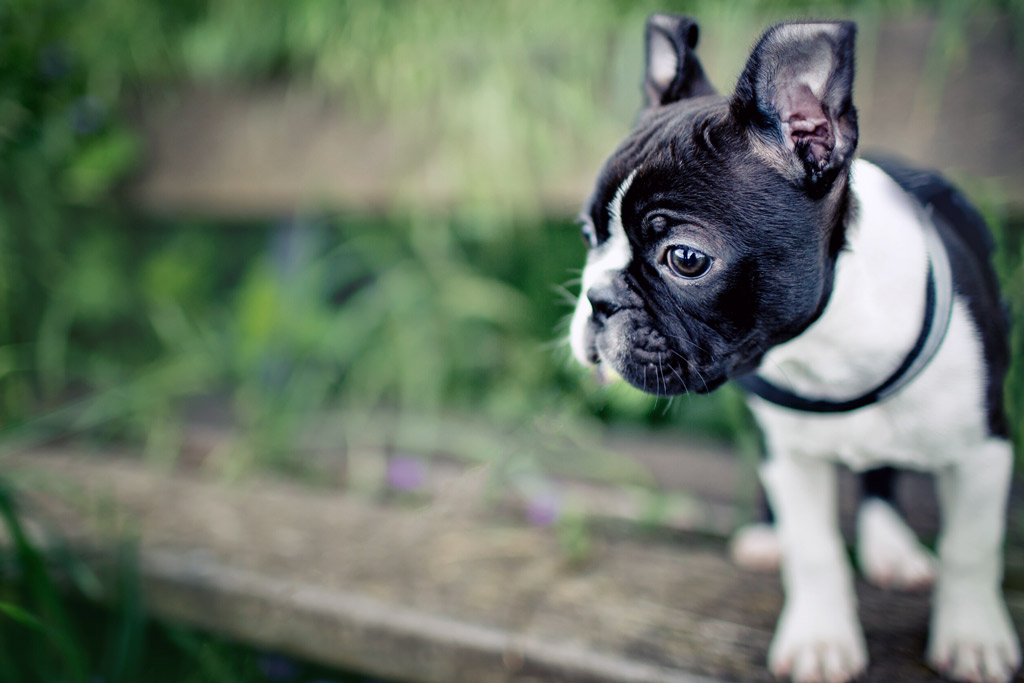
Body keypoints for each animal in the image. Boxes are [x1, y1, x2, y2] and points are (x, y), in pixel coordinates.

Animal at [573, 14, 1019, 683]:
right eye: (587, 235)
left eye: (686, 258)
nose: (597, 300)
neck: (827, 342)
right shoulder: (791, 454)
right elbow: (814, 551)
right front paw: (821, 641)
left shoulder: (984, 448)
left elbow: (972, 547)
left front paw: (973, 638)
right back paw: (768, 537)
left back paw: (890, 547)